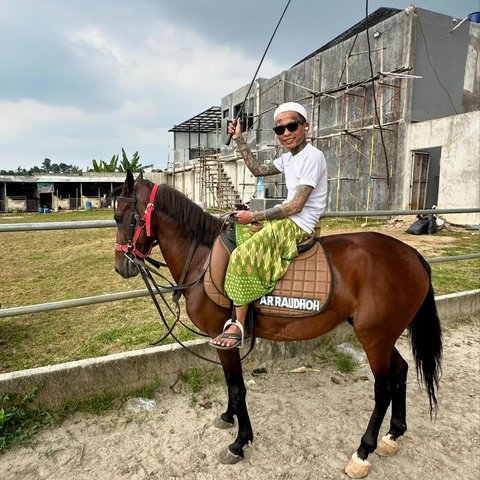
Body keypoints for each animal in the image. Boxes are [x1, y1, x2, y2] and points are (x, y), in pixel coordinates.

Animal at [113, 171, 442, 478]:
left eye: (120, 217)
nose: (121, 267)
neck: (203, 261)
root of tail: (412, 254)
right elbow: (230, 385)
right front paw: (228, 417)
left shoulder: (223, 338)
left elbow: (237, 387)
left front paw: (239, 442)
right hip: (384, 336)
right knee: (401, 371)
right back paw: (393, 434)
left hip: (374, 337)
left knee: (383, 389)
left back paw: (363, 451)